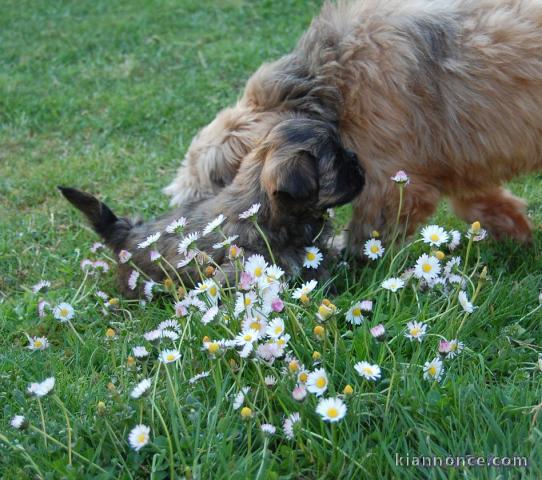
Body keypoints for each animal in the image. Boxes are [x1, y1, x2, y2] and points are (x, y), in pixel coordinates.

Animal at [165, 0, 542, 248]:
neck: (331, 82)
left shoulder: (390, 184)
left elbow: (368, 236)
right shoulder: (459, 164)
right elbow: (478, 203)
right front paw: (516, 235)